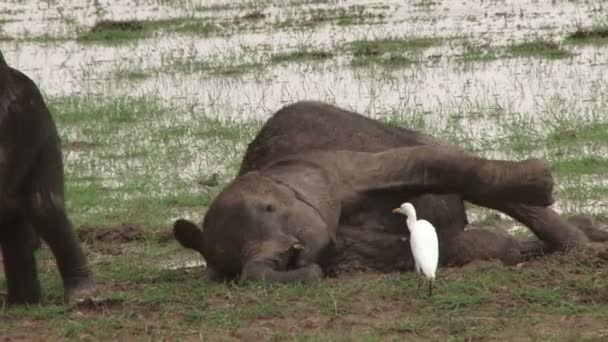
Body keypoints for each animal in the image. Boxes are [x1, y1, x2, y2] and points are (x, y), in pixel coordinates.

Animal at [173, 101, 604, 284]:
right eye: (229, 262)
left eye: (269, 207)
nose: (285, 257)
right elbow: (478, 244)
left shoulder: (337, 170)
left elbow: (440, 165)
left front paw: (544, 182)